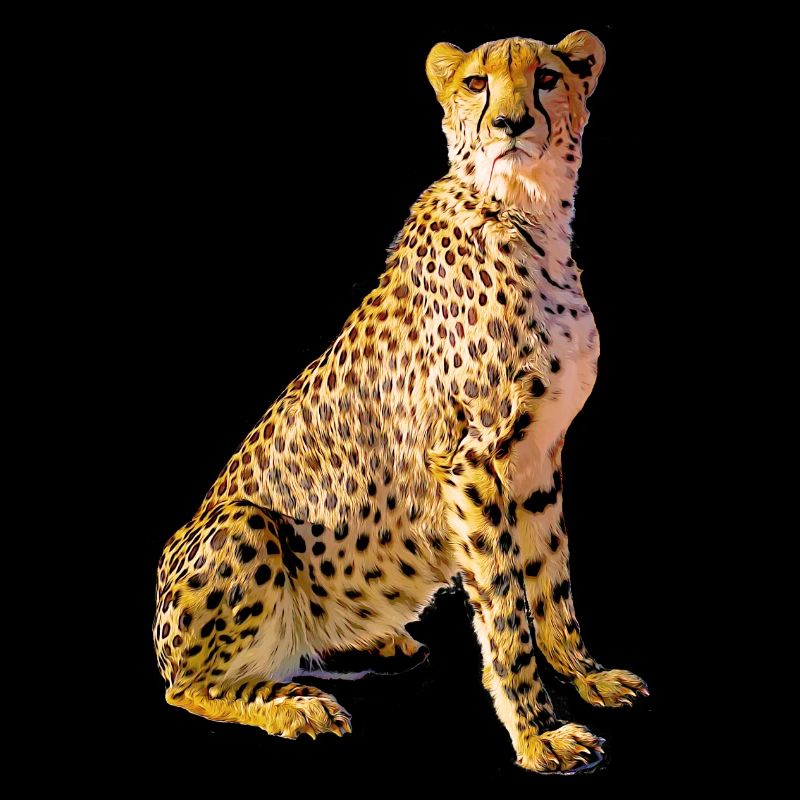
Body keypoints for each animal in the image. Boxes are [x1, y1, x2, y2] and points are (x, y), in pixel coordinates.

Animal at [153, 29, 648, 774]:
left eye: (548, 78)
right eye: (476, 83)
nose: (511, 125)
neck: (529, 210)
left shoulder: (538, 455)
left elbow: (551, 581)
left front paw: (586, 675)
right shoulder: (470, 457)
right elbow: (505, 606)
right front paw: (538, 734)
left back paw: (367, 645)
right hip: (243, 524)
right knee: (192, 688)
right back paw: (294, 706)